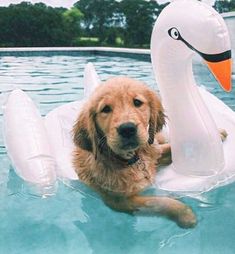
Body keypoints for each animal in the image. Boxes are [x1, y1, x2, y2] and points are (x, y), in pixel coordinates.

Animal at [73, 77, 196, 228]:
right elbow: (156, 202)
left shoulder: (154, 152)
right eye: (105, 109)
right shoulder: (120, 200)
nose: (127, 129)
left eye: (137, 102)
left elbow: (168, 149)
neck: (132, 160)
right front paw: (185, 213)